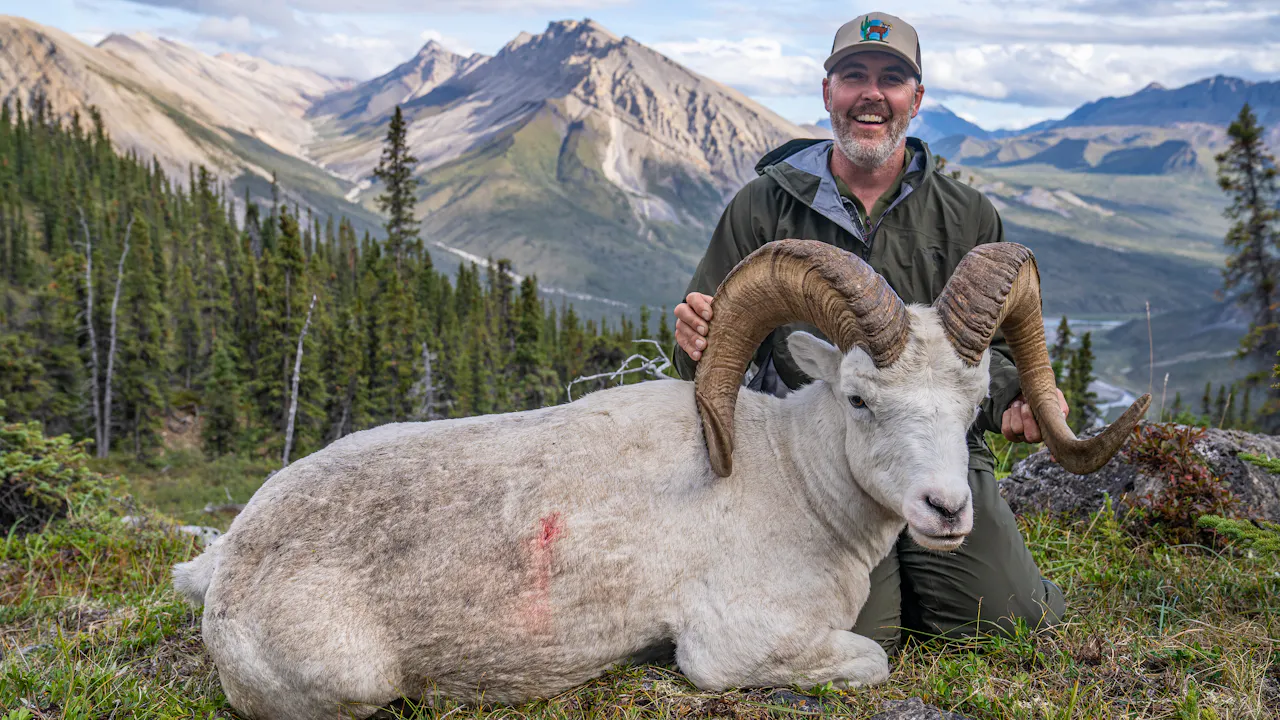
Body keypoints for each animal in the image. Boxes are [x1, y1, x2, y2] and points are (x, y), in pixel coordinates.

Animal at [173, 239, 1148, 720]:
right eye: (861, 398)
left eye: (976, 401)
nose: (945, 511)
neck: (787, 483)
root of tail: (230, 562)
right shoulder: (733, 647)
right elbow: (872, 658)